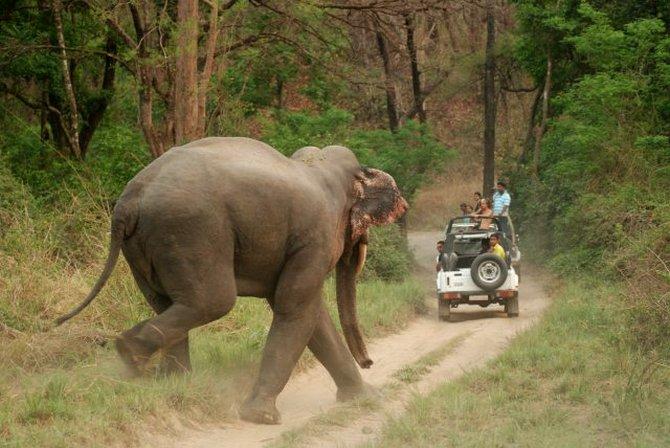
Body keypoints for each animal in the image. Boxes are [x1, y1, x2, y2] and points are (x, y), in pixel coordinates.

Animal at [57, 136, 412, 424]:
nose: (370, 362)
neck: (321, 165)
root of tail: (129, 200)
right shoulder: (316, 238)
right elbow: (296, 308)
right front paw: (262, 418)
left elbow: (308, 312)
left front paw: (367, 398)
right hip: (191, 230)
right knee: (213, 300)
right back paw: (131, 355)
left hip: (147, 245)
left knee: (166, 301)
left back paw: (172, 381)